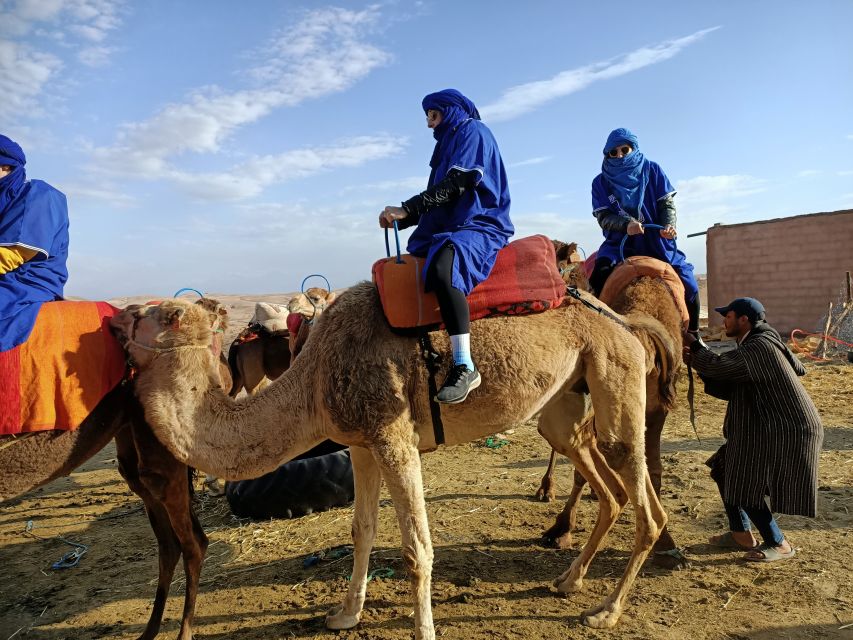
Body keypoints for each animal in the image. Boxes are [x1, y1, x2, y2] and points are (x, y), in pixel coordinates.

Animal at [0, 298, 226, 640]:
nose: (124, 313)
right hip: (134, 450)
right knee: (169, 541)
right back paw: (149, 631)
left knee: (191, 542)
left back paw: (183, 631)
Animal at [110, 280, 676, 636]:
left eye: (167, 314)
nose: (118, 318)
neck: (313, 379)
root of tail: (627, 322)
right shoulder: (362, 445)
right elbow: (361, 530)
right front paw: (345, 615)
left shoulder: (394, 437)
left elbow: (415, 549)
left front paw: (423, 631)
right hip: (565, 405)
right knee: (607, 483)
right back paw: (568, 580)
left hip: (615, 370)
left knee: (643, 498)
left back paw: (605, 611)